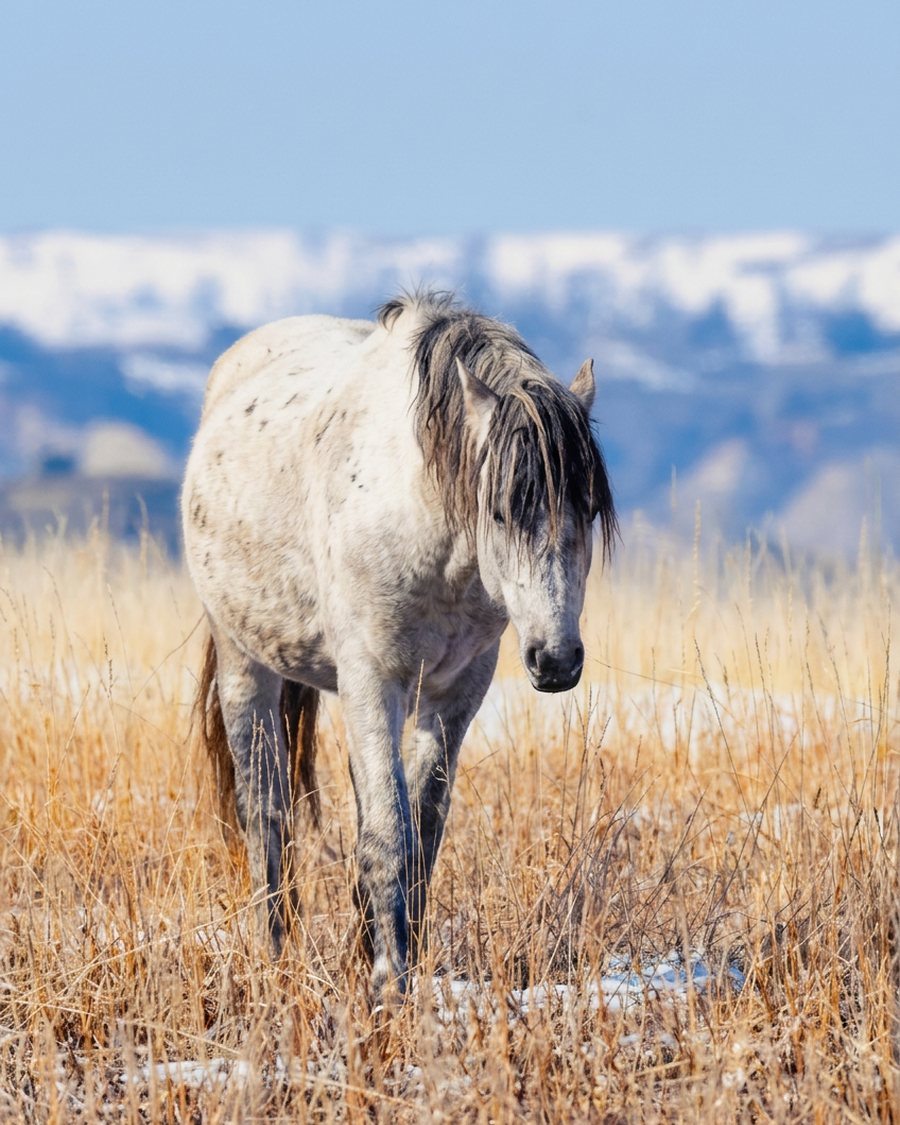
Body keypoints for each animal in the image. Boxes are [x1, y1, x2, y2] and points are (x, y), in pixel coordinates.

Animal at [182, 291, 616, 1000]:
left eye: (588, 509)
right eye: (499, 511)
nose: (556, 661)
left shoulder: (458, 691)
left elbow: (422, 830)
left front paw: (388, 955)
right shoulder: (371, 679)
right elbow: (389, 832)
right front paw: (389, 980)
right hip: (245, 664)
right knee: (265, 809)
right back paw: (273, 953)